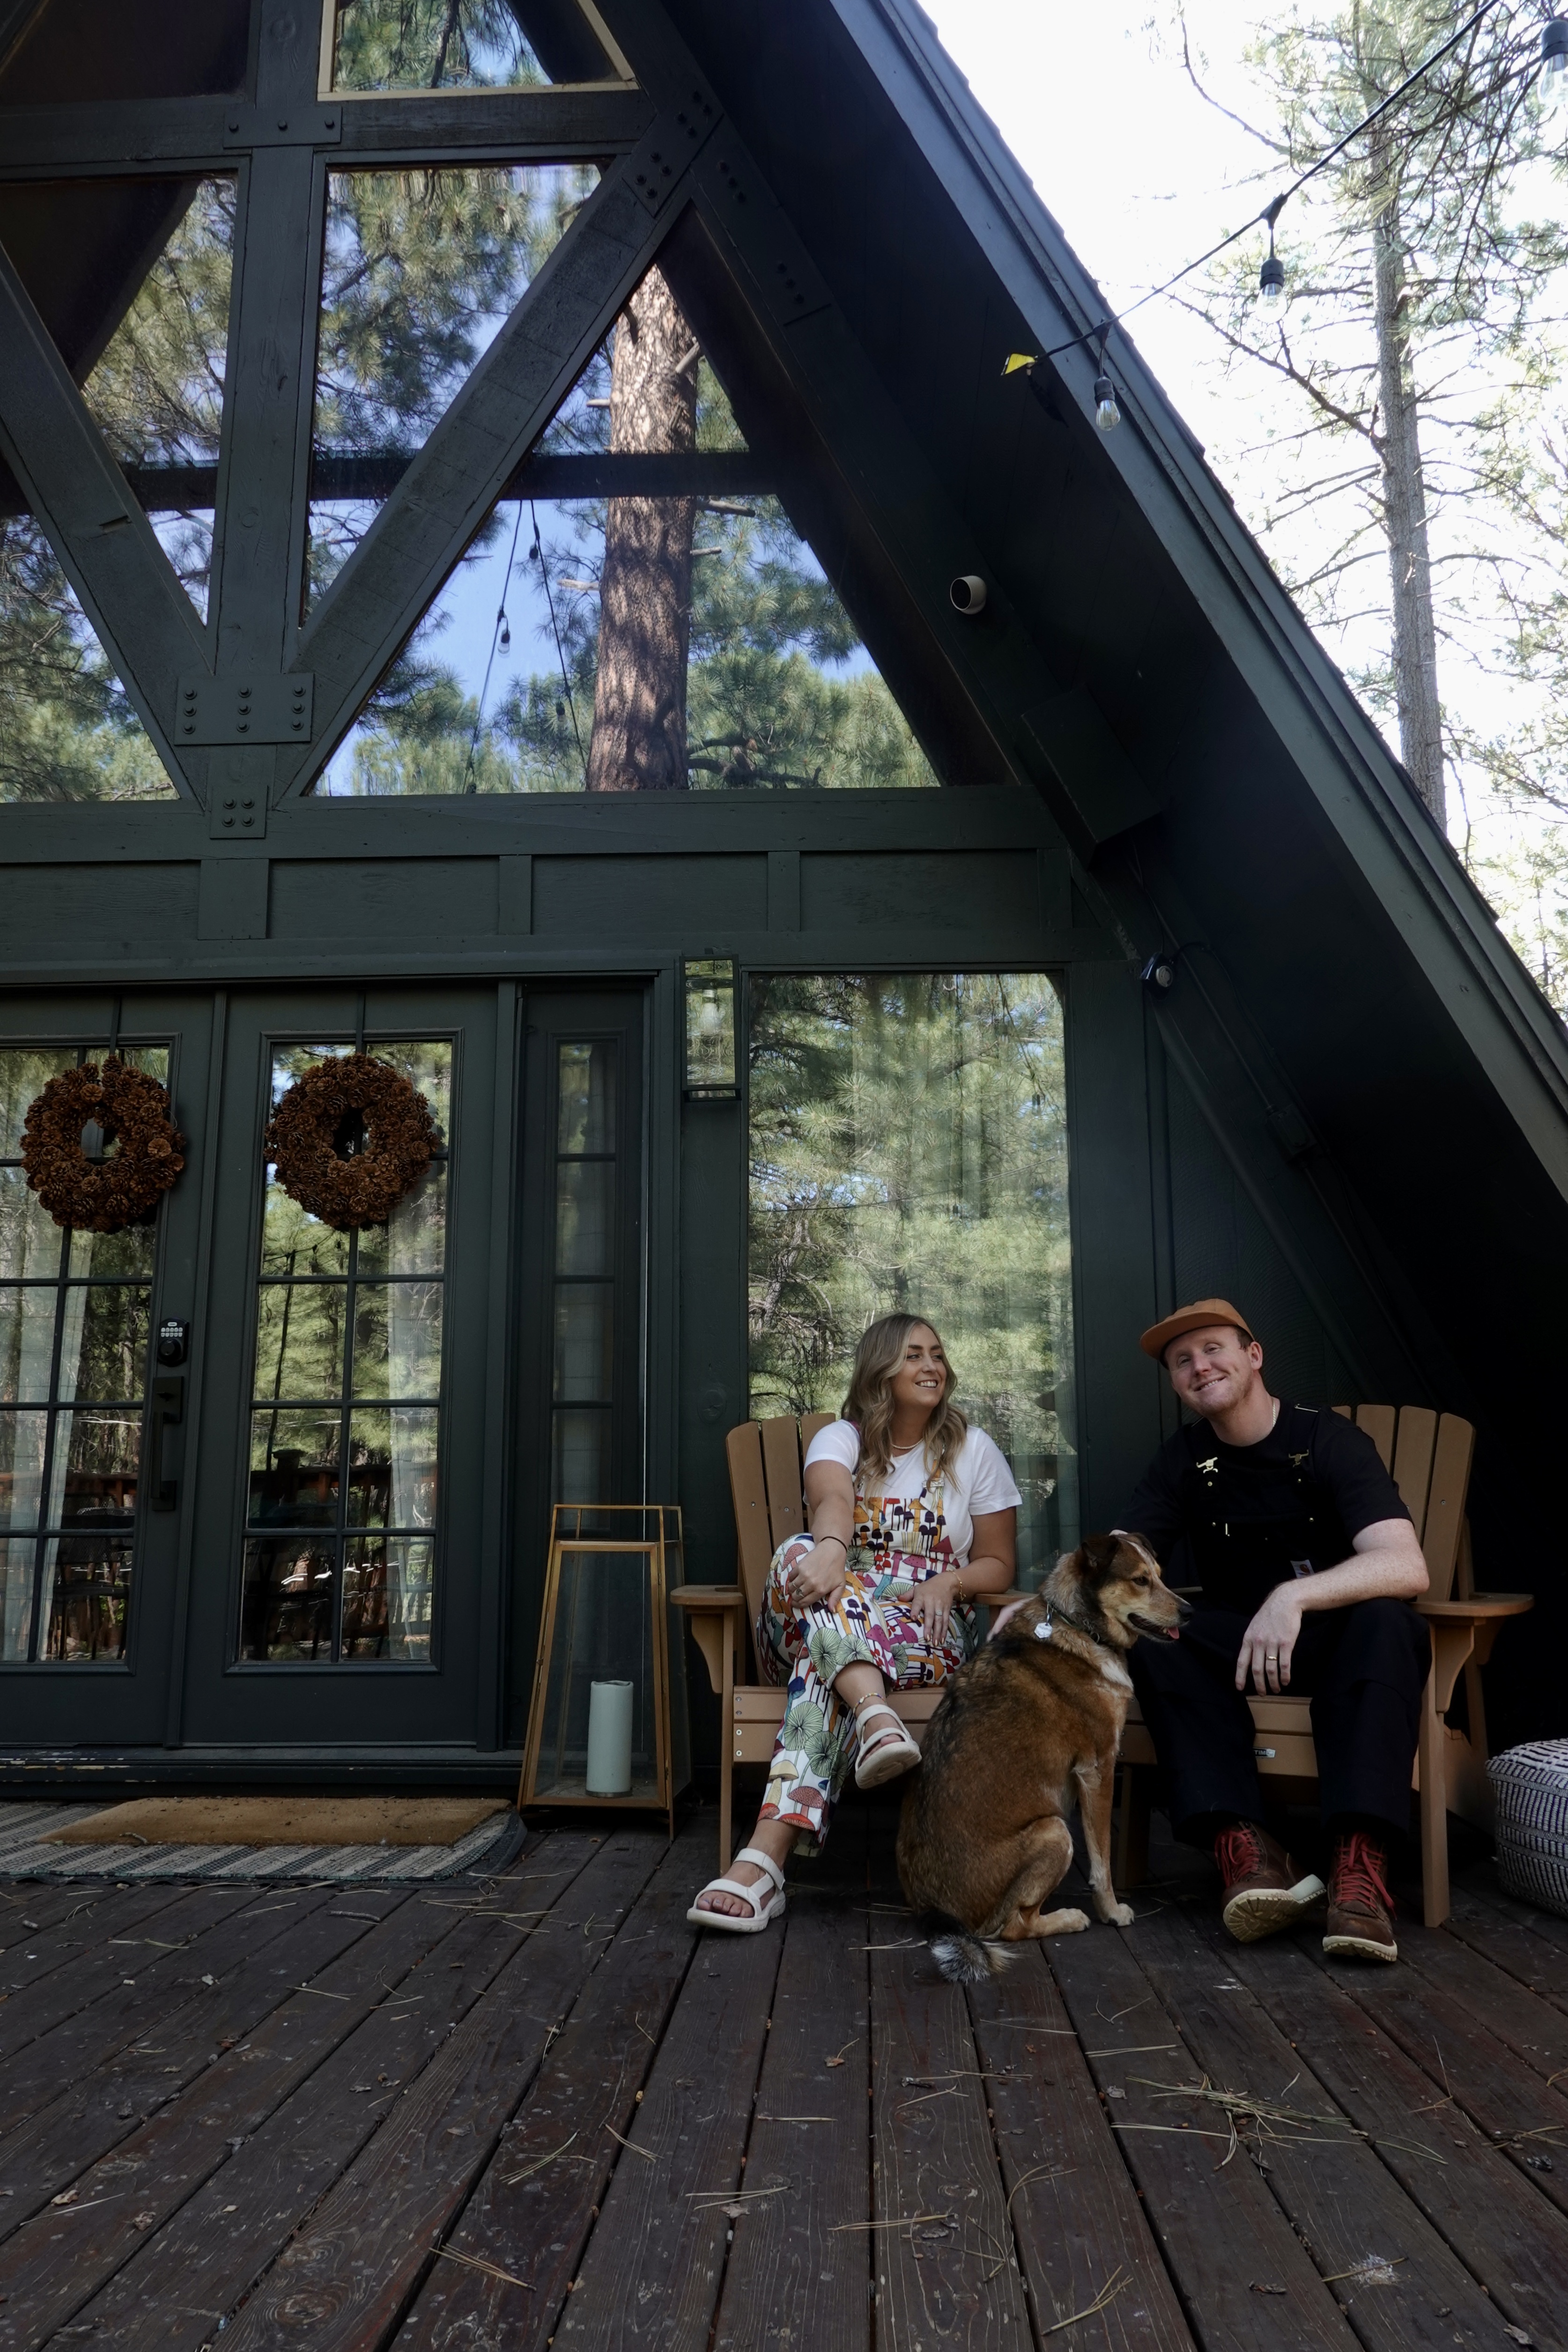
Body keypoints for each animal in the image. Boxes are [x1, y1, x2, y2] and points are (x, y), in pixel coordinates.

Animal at [893, 1533, 1189, 1975]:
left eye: (1160, 1575)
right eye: (1140, 1580)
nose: (1190, 1612)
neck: (1076, 1624)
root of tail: (934, 1910)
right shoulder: (1099, 1768)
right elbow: (1102, 1861)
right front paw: (1112, 1912)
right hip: (1055, 1832)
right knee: (1015, 1927)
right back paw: (1068, 1918)